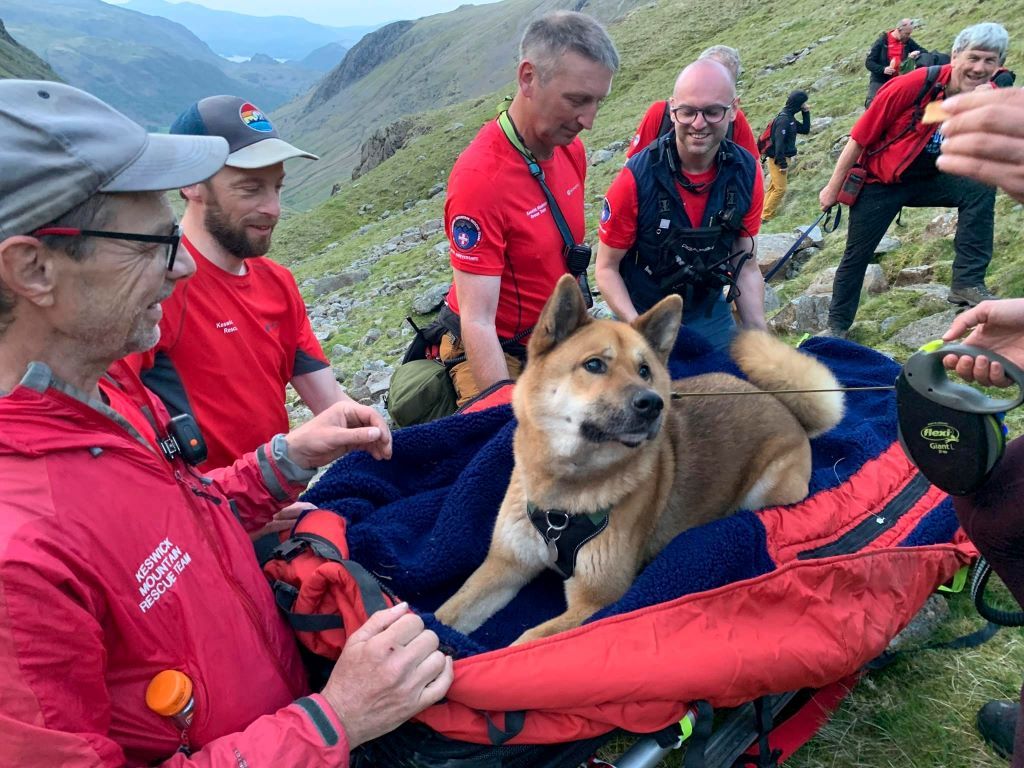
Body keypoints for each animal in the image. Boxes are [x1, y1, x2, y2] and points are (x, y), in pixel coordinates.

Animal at [436, 276, 843, 643]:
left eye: (645, 370)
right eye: (594, 365)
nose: (653, 403)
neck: (563, 497)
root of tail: (784, 407)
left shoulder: (595, 600)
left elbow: (528, 642)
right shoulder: (504, 566)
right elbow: (447, 614)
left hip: (769, 490)